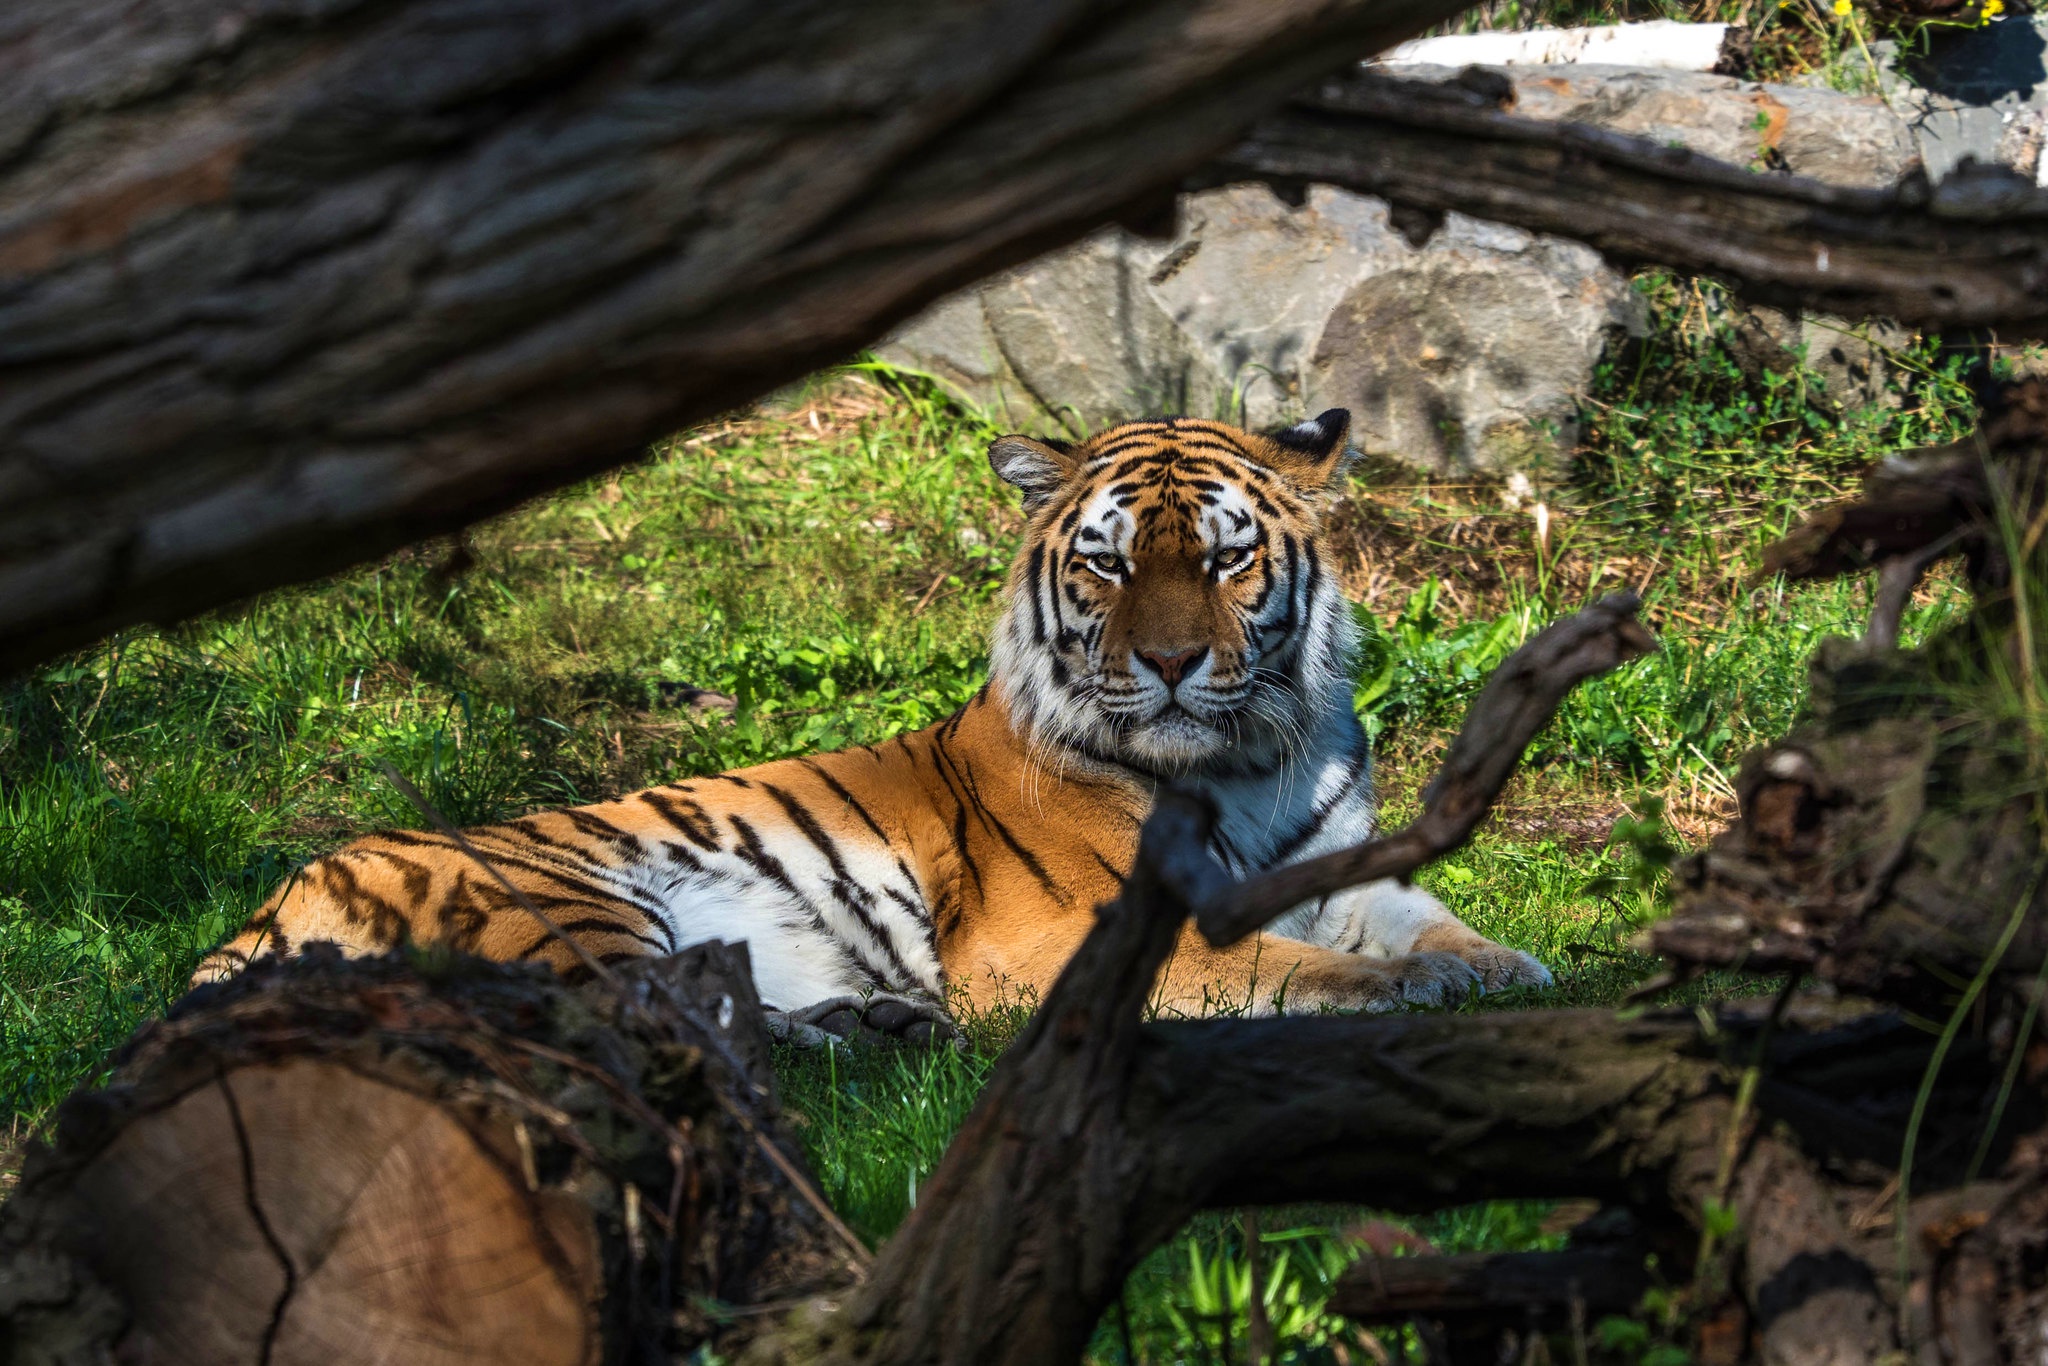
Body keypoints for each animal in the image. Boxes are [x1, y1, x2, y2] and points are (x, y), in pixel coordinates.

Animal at [195, 411, 1548, 1019]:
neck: (1243, 761)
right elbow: (1295, 967)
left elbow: (1426, 921)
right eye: (1106, 566)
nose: (1168, 663)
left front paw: (1503, 963)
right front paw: (1411, 989)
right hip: (563, 905)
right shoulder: (1074, 940)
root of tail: (268, 901)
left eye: (1223, 561)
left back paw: (880, 1020)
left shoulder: (1342, 865)